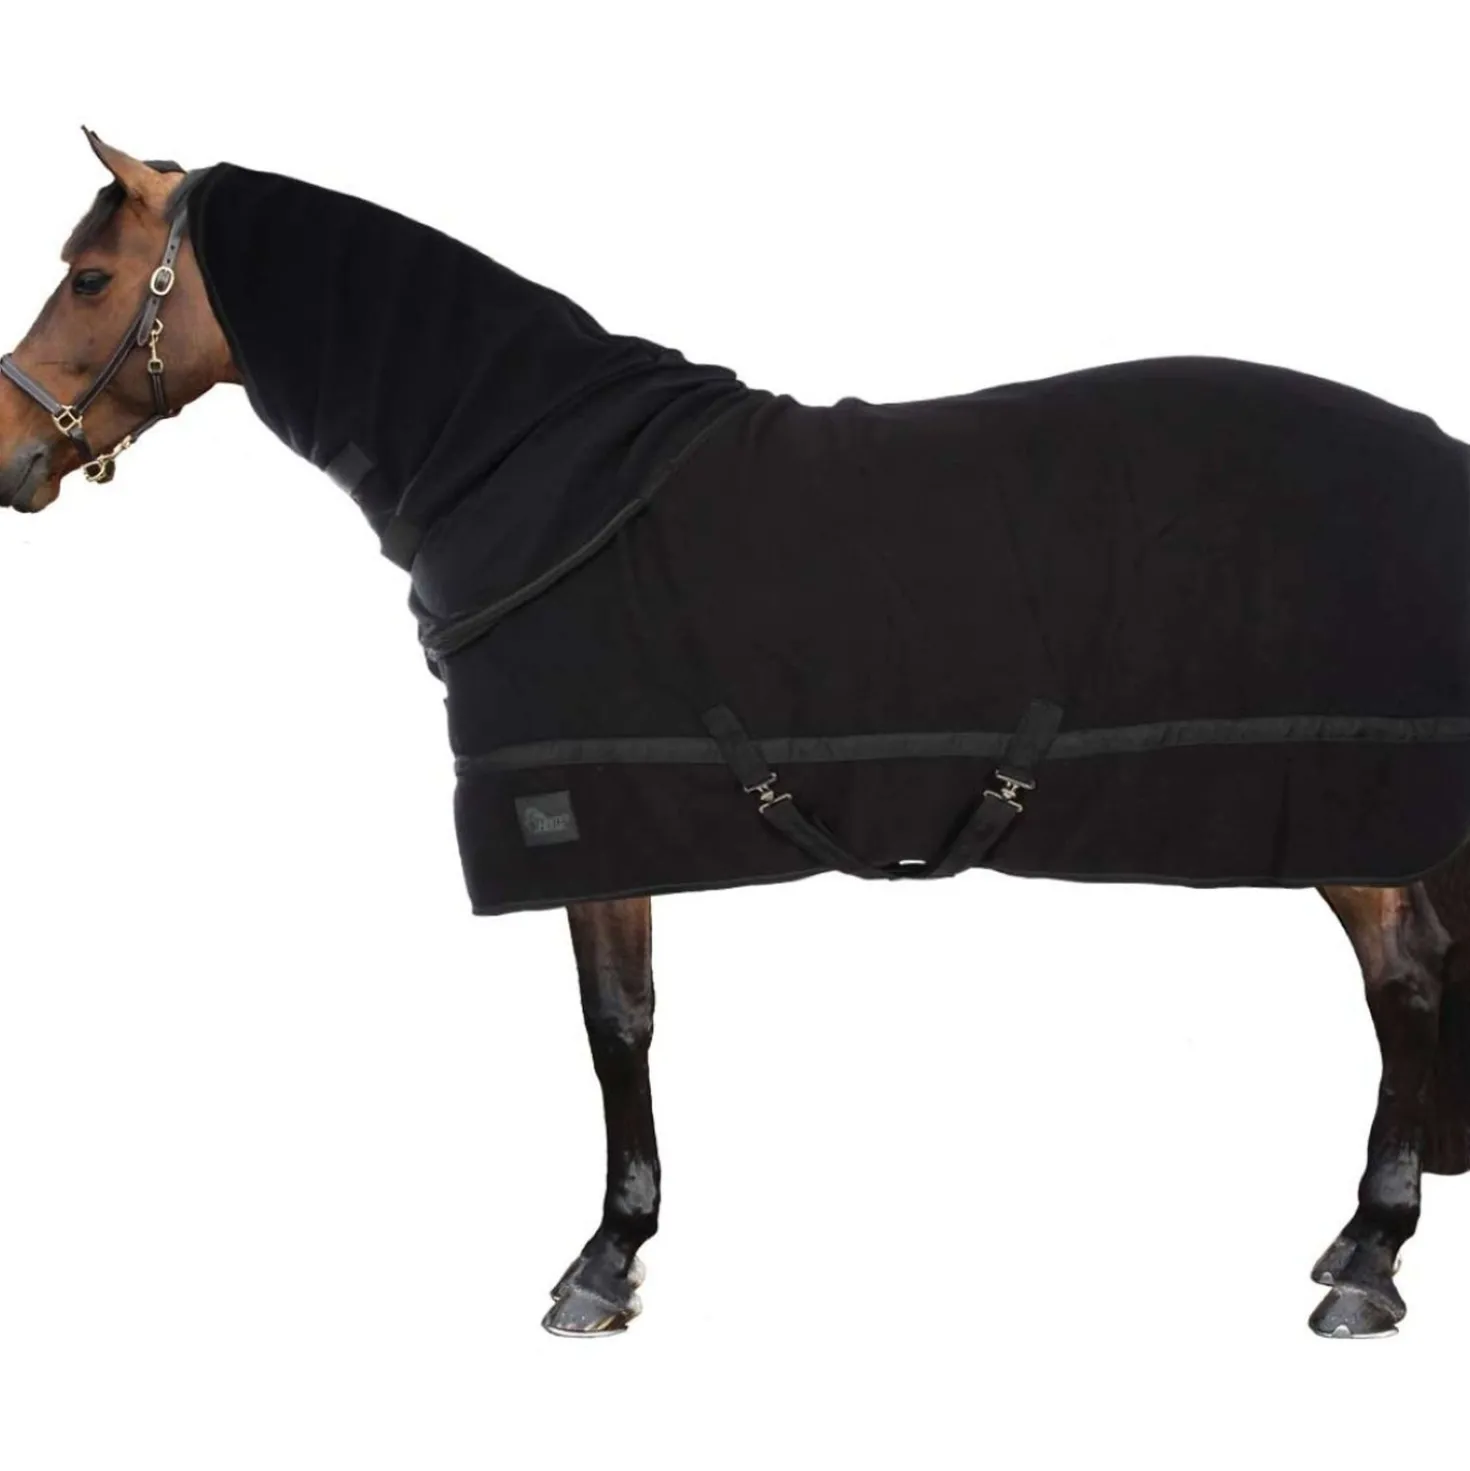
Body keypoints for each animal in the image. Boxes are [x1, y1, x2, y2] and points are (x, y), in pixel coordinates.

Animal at [4, 130, 1470, 1341]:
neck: (531, 465)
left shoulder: (580, 815)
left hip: (1349, 806)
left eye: (88, 276)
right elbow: (630, 1017)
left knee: (1403, 978)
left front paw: (603, 1262)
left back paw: (1367, 1259)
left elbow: (615, 1024)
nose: (13, 452)